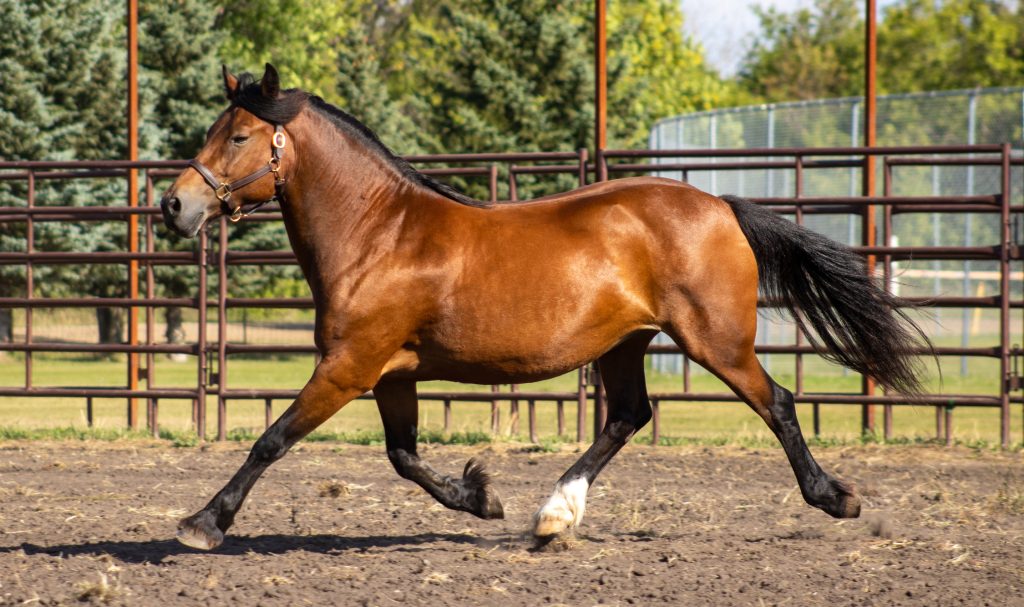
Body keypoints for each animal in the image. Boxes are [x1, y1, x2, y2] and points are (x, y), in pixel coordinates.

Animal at [157, 64, 929, 548]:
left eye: (238, 136)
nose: (174, 205)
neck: (378, 232)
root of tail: (719, 206)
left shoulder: (348, 367)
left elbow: (271, 438)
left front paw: (204, 522)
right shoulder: (392, 372)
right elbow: (404, 456)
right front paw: (482, 496)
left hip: (718, 341)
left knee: (779, 404)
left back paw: (836, 496)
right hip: (626, 343)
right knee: (626, 416)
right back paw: (554, 516)